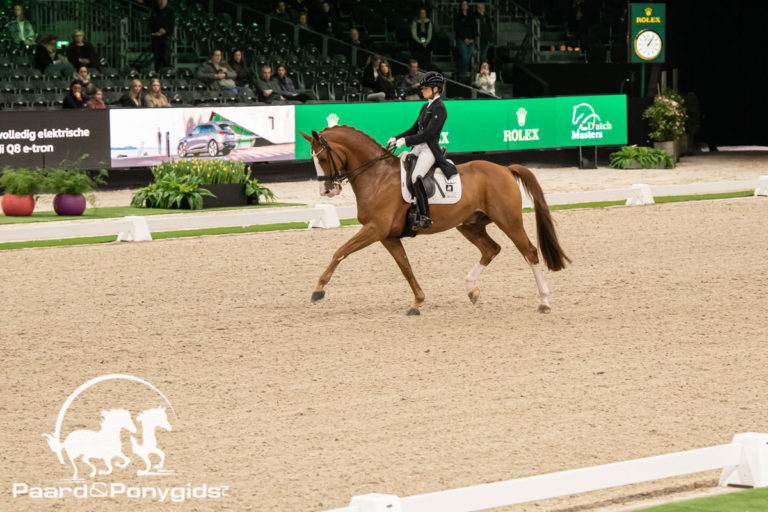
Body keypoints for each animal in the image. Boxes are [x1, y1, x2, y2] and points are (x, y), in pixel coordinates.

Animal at [300, 126, 568, 314]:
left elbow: (340, 251)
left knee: (530, 252)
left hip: (509, 221)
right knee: (491, 249)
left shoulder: (375, 229)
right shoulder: (387, 236)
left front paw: (318, 290)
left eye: (322, 159)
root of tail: (504, 169)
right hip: (470, 225)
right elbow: (405, 267)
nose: (326, 191)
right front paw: (417, 303)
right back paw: (472, 289)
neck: (376, 176)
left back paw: (544, 302)